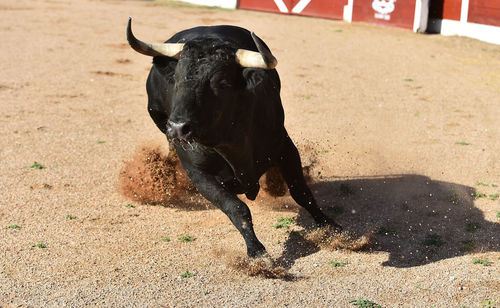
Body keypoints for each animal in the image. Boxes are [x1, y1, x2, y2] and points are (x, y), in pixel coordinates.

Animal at [127, 19, 342, 258]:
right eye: (176, 79)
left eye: (221, 82)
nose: (177, 128)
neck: (231, 142)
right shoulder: (198, 172)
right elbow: (236, 208)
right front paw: (257, 251)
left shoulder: (285, 148)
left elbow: (301, 192)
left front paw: (331, 228)